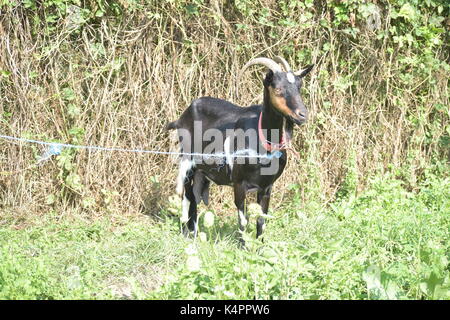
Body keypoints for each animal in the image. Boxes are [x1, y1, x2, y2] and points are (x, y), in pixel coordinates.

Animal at [165, 57, 312, 242]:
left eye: (299, 87)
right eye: (278, 89)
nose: (303, 115)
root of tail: (182, 117)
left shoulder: (267, 187)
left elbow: (261, 220)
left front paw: (260, 245)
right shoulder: (239, 183)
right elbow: (243, 220)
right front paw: (243, 245)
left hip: (201, 173)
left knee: (195, 199)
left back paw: (195, 233)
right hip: (187, 163)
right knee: (187, 199)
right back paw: (187, 235)